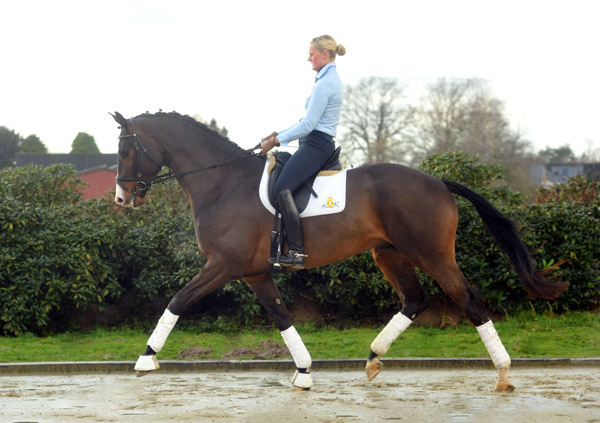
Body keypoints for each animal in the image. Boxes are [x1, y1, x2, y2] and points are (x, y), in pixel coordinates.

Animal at [111, 111, 568, 392]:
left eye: (125, 149)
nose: (121, 198)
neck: (223, 182)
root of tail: (438, 182)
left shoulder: (224, 265)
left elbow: (178, 299)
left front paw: (146, 359)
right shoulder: (255, 273)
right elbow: (281, 318)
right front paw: (303, 372)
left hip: (433, 255)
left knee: (468, 299)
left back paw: (503, 374)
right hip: (390, 254)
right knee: (414, 299)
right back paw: (373, 358)